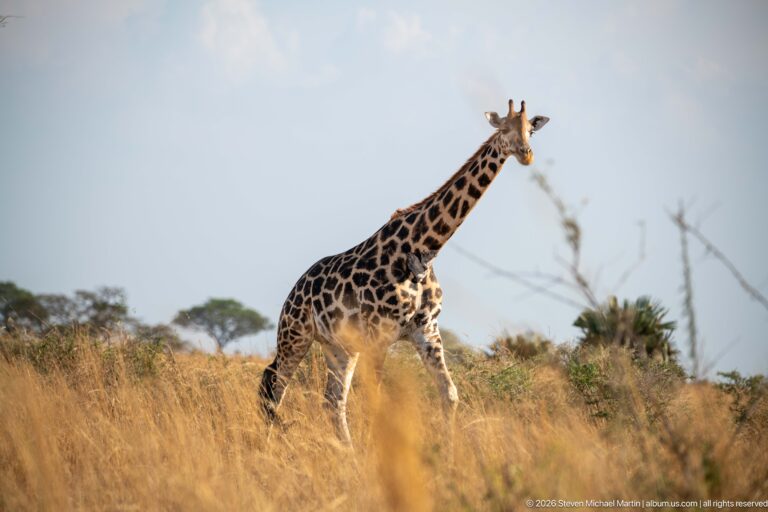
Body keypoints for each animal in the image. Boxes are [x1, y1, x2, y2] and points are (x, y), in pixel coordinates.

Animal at [259, 99, 549, 443]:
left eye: (530, 130)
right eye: (503, 128)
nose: (526, 154)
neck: (422, 250)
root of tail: (296, 288)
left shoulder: (426, 331)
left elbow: (449, 394)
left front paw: (449, 451)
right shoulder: (378, 335)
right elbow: (378, 403)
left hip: (338, 347)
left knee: (331, 401)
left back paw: (346, 450)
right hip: (295, 335)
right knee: (273, 385)